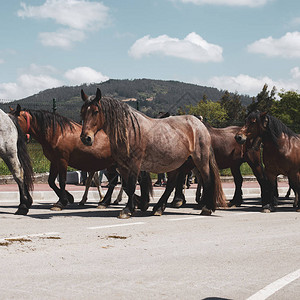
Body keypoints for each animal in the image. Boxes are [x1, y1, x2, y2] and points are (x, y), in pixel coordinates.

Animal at [11, 105, 152, 211]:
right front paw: (68, 197)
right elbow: (51, 182)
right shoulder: (54, 161)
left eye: (13, 120)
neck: (58, 133)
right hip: (113, 164)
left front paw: (62, 201)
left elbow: (62, 181)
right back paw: (108, 202)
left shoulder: (62, 161)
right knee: (116, 181)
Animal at [81, 87, 226, 218]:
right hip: (177, 163)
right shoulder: (122, 166)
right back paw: (159, 208)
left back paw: (207, 207)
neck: (129, 130)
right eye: (82, 112)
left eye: (95, 111)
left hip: (200, 160)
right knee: (171, 184)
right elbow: (127, 186)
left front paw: (128, 210)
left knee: (207, 179)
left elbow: (131, 185)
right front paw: (139, 203)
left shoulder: (134, 165)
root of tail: (200, 124)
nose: (85, 138)